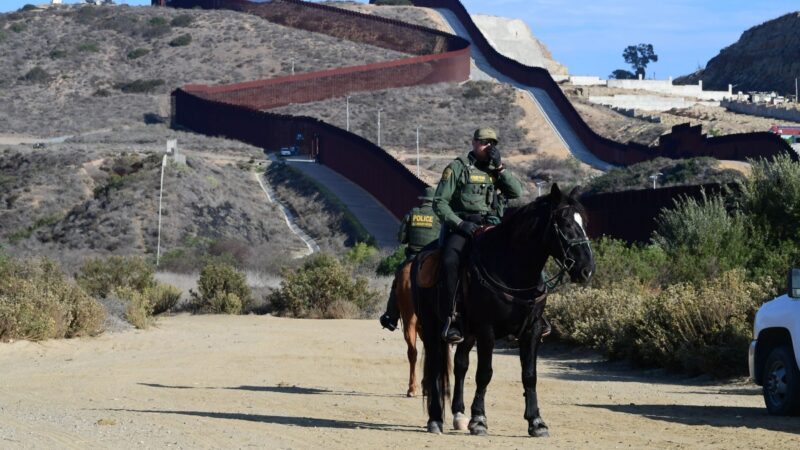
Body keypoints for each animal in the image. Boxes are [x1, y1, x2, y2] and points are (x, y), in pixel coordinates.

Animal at [416, 183, 592, 436]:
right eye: (565, 223)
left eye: (584, 222)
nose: (587, 269)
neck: (511, 267)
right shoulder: (486, 329)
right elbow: (484, 373)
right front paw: (479, 420)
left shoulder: (532, 330)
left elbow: (529, 375)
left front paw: (536, 421)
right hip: (431, 327)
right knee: (435, 368)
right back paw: (435, 419)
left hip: (467, 334)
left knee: (460, 365)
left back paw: (458, 415)